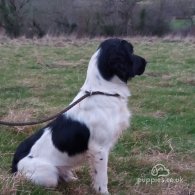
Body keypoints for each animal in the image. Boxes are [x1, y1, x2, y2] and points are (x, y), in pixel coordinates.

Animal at [11, 38, 146, 193]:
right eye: (130, 51)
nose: (146, 62)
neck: (104, 90)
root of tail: (14, 163)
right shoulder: (99, 149)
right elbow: (102, 177)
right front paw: (103, 192)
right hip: (48, 174)